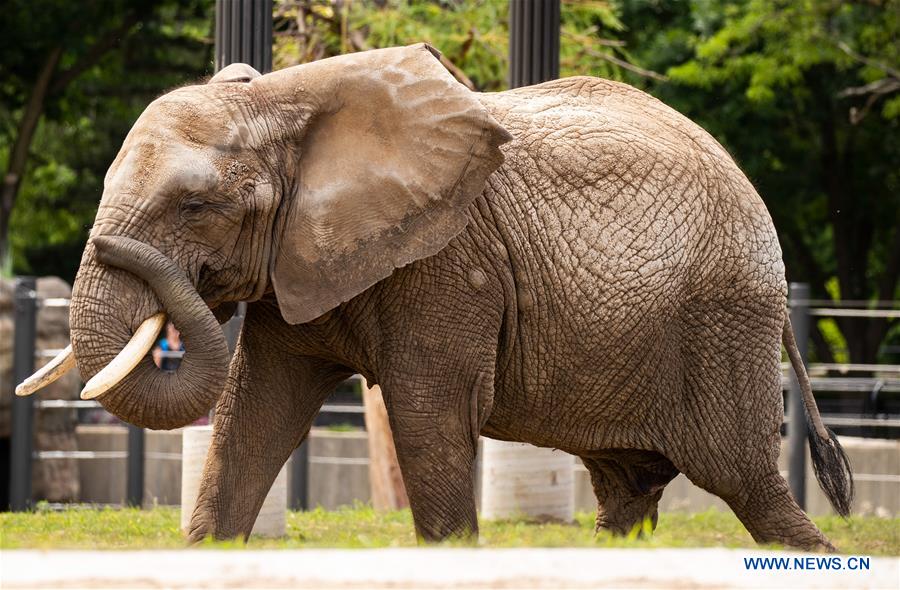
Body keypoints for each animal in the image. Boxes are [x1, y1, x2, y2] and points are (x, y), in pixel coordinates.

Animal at [19, 44, 852, 552]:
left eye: (194, 207)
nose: (107, 247)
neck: (287, 100)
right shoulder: (305, 257)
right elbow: (254, 414)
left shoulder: (447, 258)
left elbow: (429, 414)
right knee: (628, 491)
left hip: (721, 319)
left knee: (746, 484)